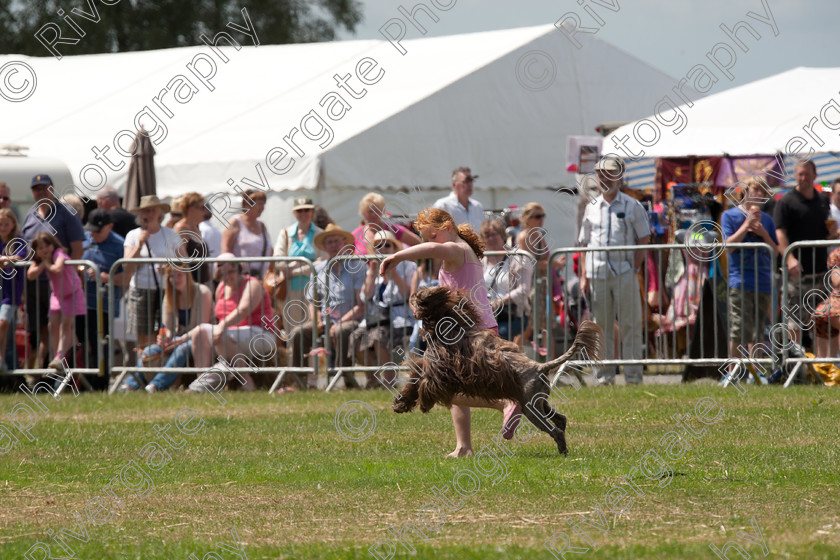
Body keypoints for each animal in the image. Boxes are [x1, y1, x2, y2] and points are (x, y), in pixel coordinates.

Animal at [394, 286, 604, 452]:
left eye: (419, 297)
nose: (412, 297)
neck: (449, 324)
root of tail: (540, 366)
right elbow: (416, 378)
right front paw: (401, 401)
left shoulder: (440, 371)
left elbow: (425, 383)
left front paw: (419, 402)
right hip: (539, 402)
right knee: (560, 419)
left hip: (531, 409)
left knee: (556, 429)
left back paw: (563, 450)